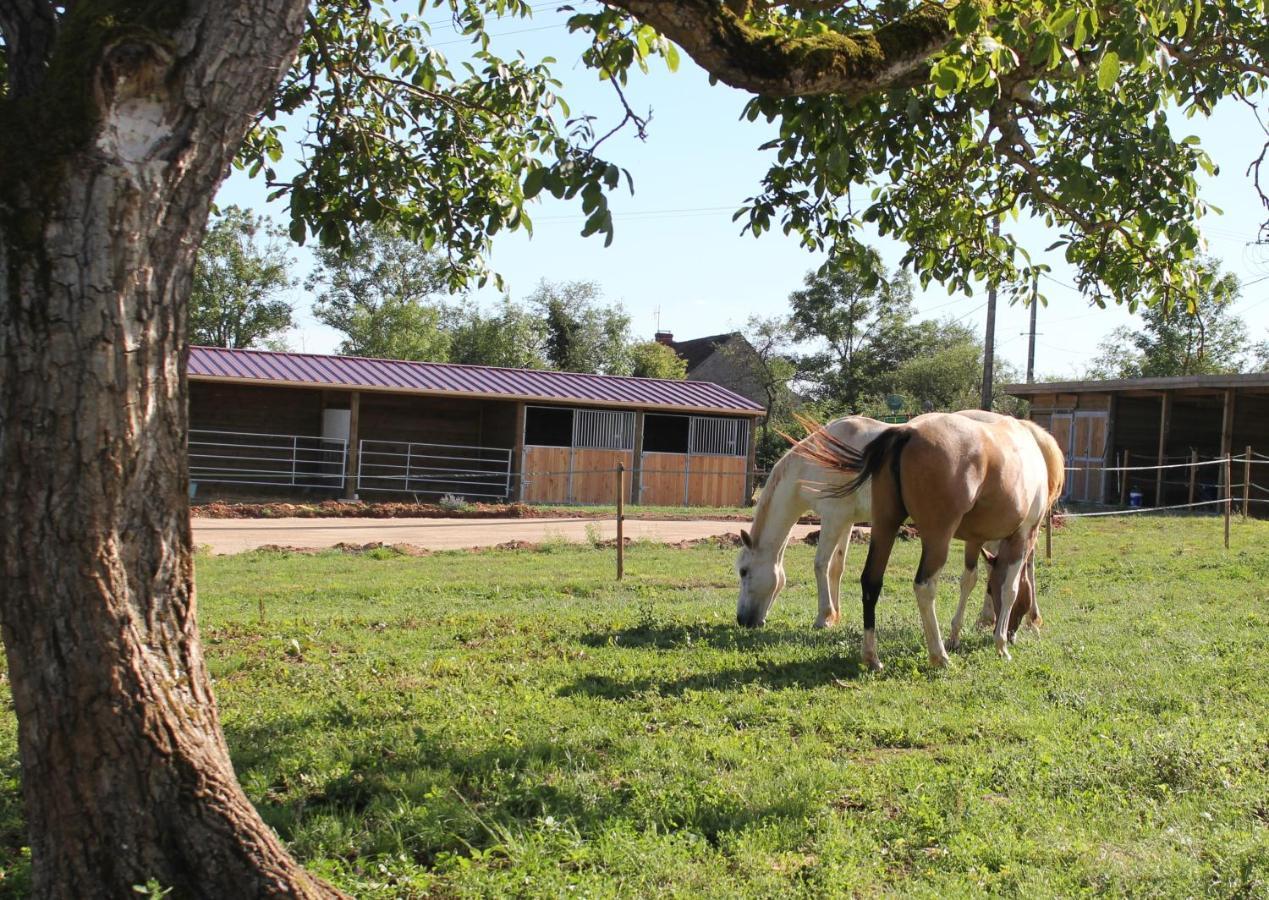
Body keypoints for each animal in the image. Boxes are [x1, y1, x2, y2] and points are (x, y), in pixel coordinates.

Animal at [802, 411, 1060, 670]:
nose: (1013, 633)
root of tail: (906, 432)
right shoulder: (1023, 535)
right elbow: (1010, 588)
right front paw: (1001, 644)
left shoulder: (975, 540)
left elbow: (969, 581)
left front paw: (956, 634)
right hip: (937, 540)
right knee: (924, 587)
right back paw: (939, 655)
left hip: (885, 525)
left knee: (871, 581)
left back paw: (871, 656)